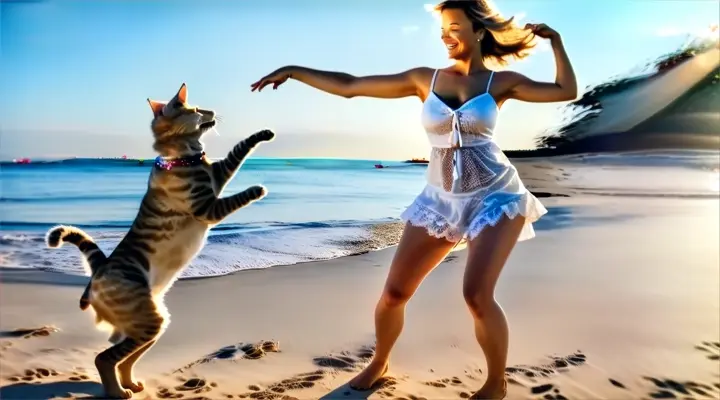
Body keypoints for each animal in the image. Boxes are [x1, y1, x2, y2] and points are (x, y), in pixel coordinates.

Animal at [45, 83, 276, 398]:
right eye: (196, 109)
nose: (213, 111)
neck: (185, 155)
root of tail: (99, 269)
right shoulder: (208, 208)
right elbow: (237, 195)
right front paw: (257, 189)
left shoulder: (218, 174)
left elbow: (238, 150)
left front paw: (262, 134)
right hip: (147, 322)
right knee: (105, 358)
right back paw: (117, 391)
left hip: (150, 324)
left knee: (124, 359)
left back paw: (130, 383)